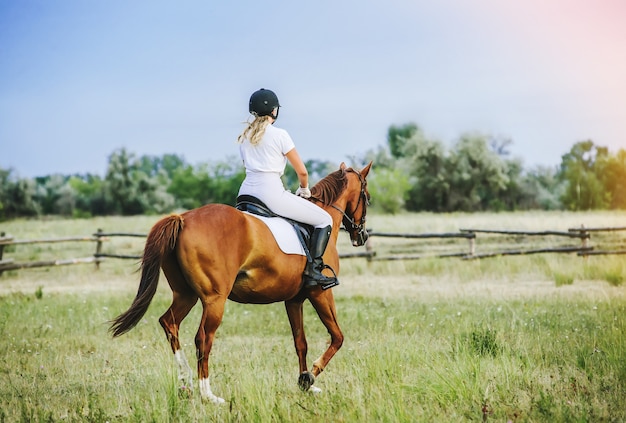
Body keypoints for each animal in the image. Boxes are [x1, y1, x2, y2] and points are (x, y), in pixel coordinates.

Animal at [109, 161, 370, 404]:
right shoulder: (320, 293)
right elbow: (337, 337)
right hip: (215, 299)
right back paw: (208, 395)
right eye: (367, 196)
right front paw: (311, 375)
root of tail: (182, 218)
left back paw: (186, 384)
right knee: (203, 338)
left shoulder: (293, 300)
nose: (362, 236)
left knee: (170, 324)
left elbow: (300, 342)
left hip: (186, 295)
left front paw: (305, 382)